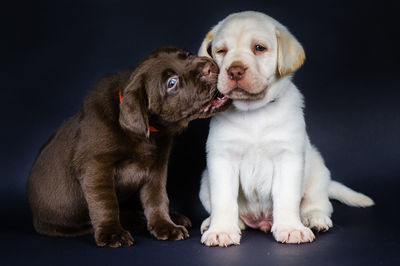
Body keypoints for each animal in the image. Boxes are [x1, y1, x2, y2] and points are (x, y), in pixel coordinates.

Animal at [198, 11, 374, 246]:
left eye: (259, 48)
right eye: (221, 51)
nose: (234, 71)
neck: (253, 113)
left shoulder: (288, 159)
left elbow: (287, 198)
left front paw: (291, 228)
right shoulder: (222, 159)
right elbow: (224, 200)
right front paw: (221, 230)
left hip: (318, 171)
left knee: (318, 203)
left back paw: (315, 218)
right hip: (204, 181)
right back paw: (218, 222)